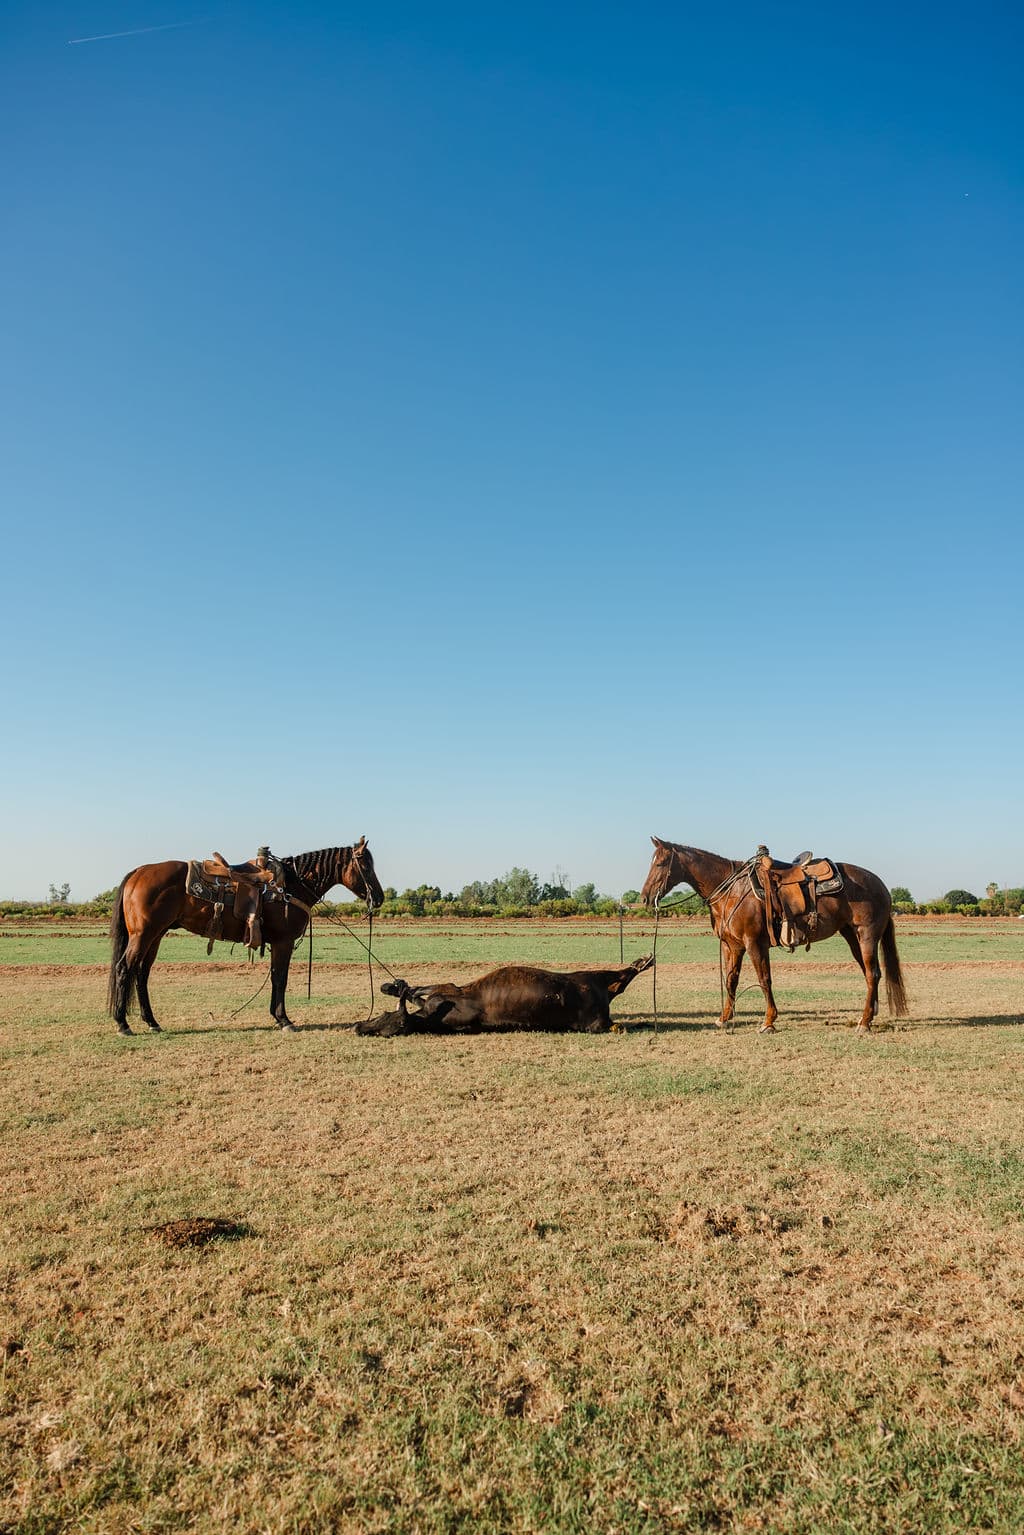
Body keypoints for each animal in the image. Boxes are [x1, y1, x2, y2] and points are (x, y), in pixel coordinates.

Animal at [108, 839, 385, 1035]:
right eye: (365, 866)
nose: (379, 898)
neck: (291, 886)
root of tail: (138, 872)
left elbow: (275, 978)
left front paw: (277, 1017)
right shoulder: (283, 942)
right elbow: (280, 979)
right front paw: (284, 1019)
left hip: (156, 935)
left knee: (141, 973)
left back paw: (152, 1022)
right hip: (143, 934)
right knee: (125, 968)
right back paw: (123, 1024)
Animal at [356, 955, 654, 1036]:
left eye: (387, 1019)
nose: (359, 1027)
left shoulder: (448, 990)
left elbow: (416, 991)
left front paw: (393, 986)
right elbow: (417, 992)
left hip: (587, 979)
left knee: (620, 978)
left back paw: (643, 961)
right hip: (589, 986)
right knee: (618, 982)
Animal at [640, 838, 907, 1034]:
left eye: (660, 864)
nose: (644, 898)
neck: (732, 890)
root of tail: (881, 886)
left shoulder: (754, 943)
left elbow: (764, 979)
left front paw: (768, 1022)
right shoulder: (732, 946)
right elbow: (730, 980)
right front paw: (724, 1018)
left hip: (867, 936)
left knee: (872, 974)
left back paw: (864, 1022)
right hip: (852, 936)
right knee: (871, 974)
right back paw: (870, 1016)